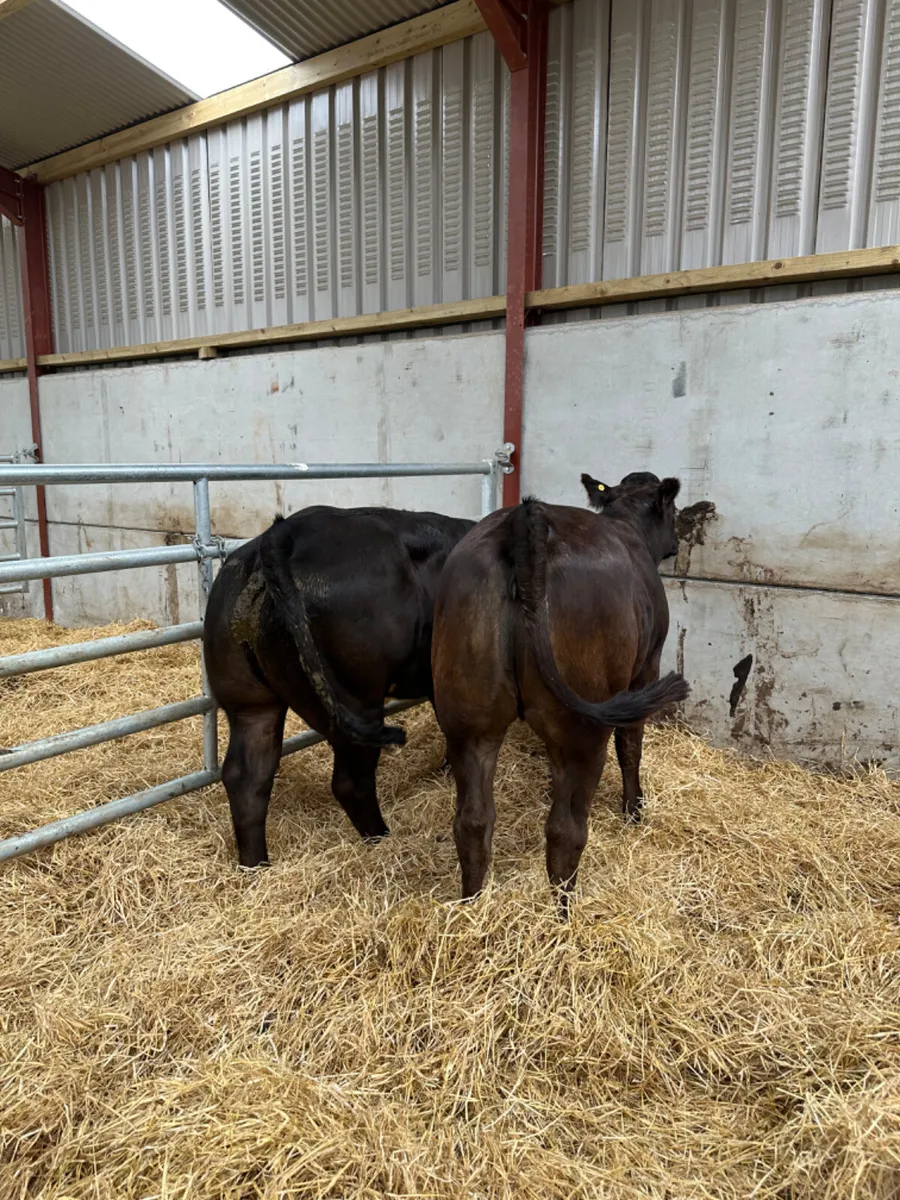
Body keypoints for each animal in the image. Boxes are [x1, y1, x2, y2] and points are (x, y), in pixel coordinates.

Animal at [203, 505, 474, 867]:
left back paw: (255, 867)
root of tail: (288, 530)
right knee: (351, 782)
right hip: (356, 698)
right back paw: (382, 839)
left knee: (247, 776)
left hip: (248, 700)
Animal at [431, 471, 690, 907]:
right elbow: (631, 746)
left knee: (472, 822)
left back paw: (471, 907)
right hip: (583, 727)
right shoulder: (647, 667)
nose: (676, 543)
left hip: (469, 719)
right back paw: (564, 913)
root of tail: (526, 518)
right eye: (672, 510)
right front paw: (634, 809)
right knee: (565, 829)